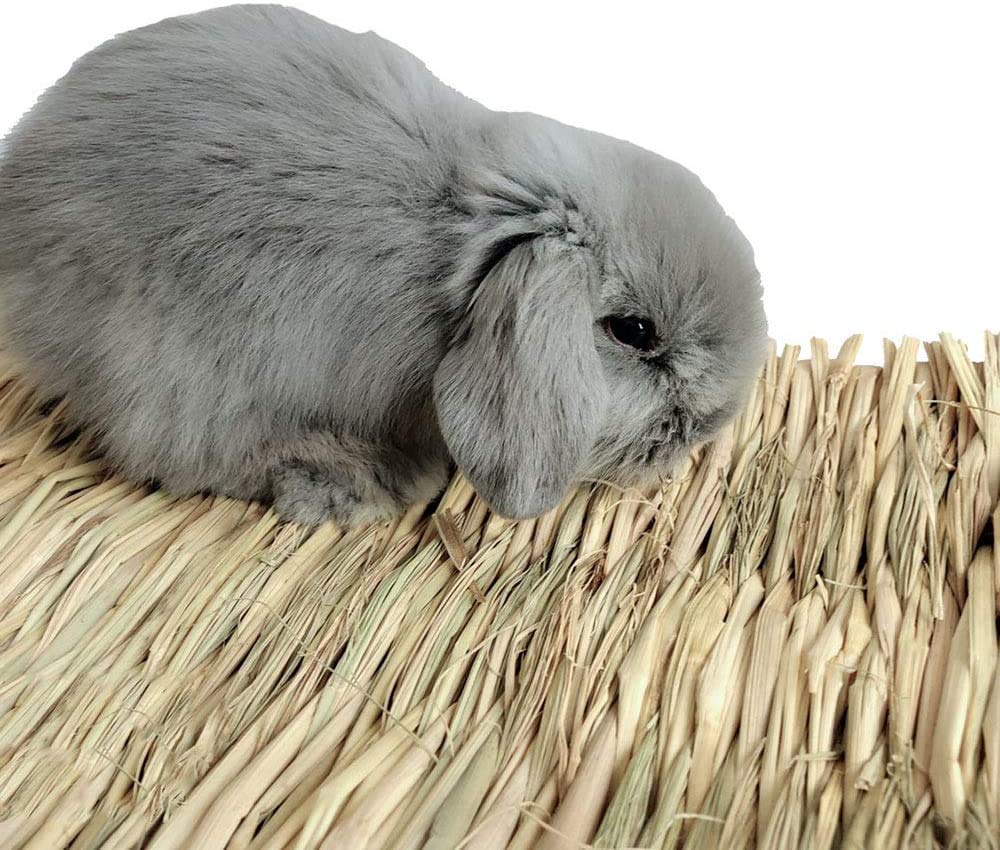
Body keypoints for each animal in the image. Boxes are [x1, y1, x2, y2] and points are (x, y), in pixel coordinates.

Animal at [0, 4, 767, 526]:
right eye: (634, 332)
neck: (462, 250)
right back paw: (354, 482)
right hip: (169, 366)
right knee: (186, 453)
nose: (710, 427)